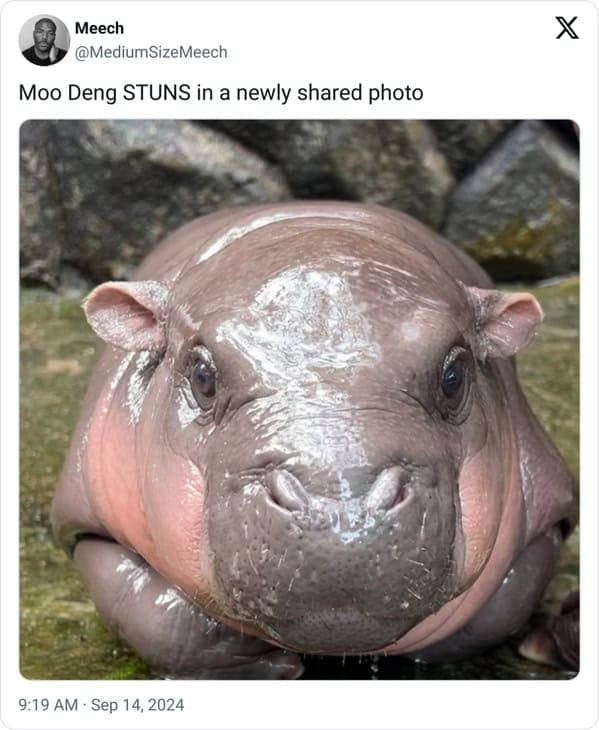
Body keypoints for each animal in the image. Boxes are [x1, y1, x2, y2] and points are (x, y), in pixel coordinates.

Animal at [50, 202, 577, 678]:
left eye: (454, 376)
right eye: (201, 375)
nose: (339, 514)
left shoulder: (547, 520)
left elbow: (498, 609)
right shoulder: (82, 523)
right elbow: (155, 617)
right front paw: (268, 663)